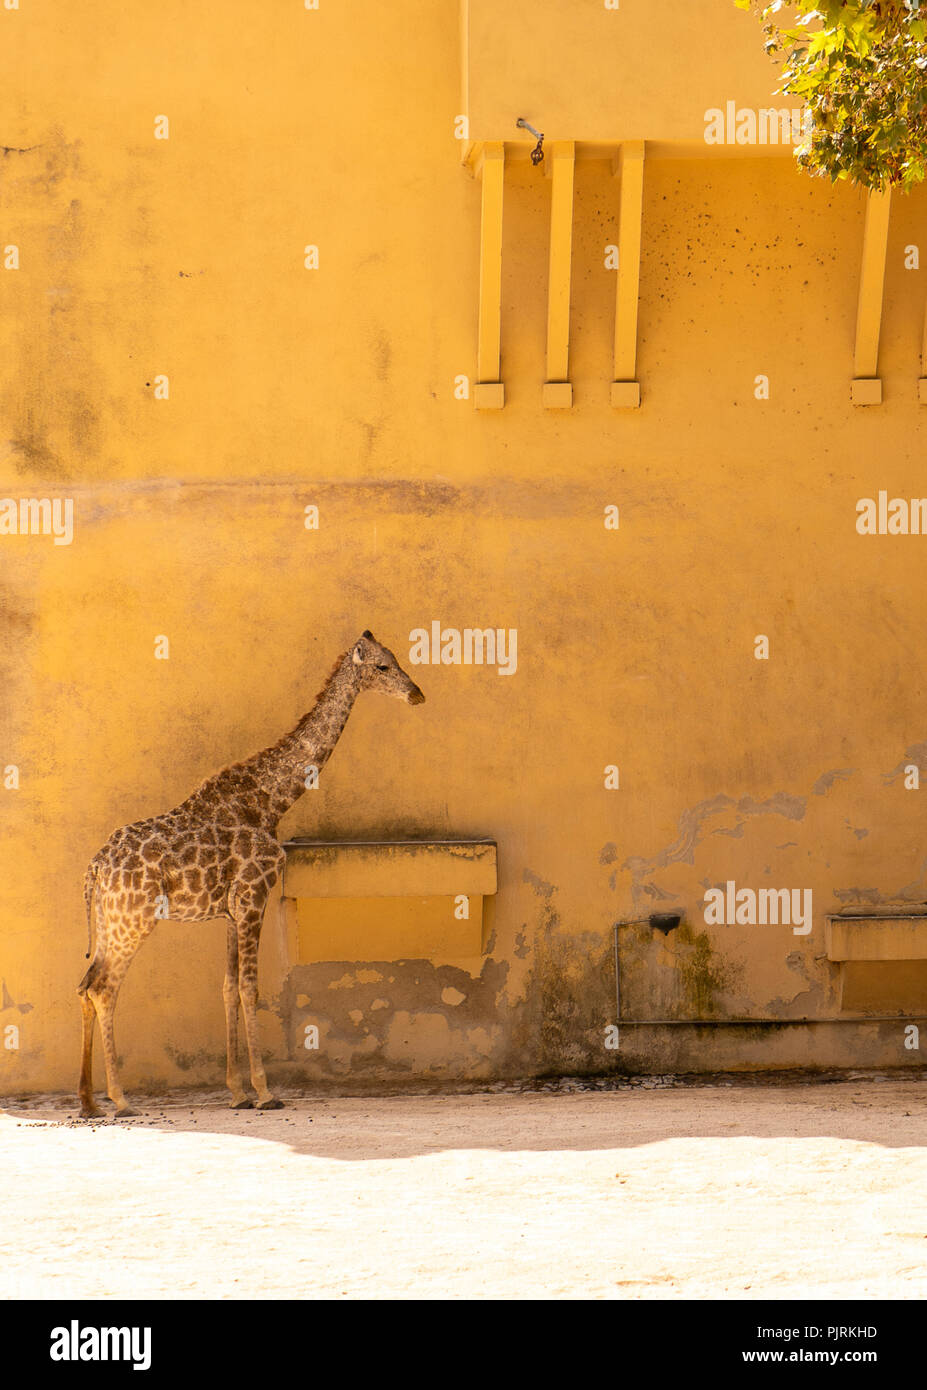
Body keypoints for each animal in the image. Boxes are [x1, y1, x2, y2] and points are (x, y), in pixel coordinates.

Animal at [77, 630, 425, 1119]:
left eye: (395, 659)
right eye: (381, 667)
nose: (417, 694)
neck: (271, 800)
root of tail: (94, 867)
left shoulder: (230, 911)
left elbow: (227, 987)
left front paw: (237, 1092)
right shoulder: (254, 898)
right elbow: (249, 988)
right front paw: (265, 1092)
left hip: (110, 920)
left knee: (85, 984)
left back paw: (88, 1102)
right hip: (135, 920)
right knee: (104, 988)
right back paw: (121, 1100)